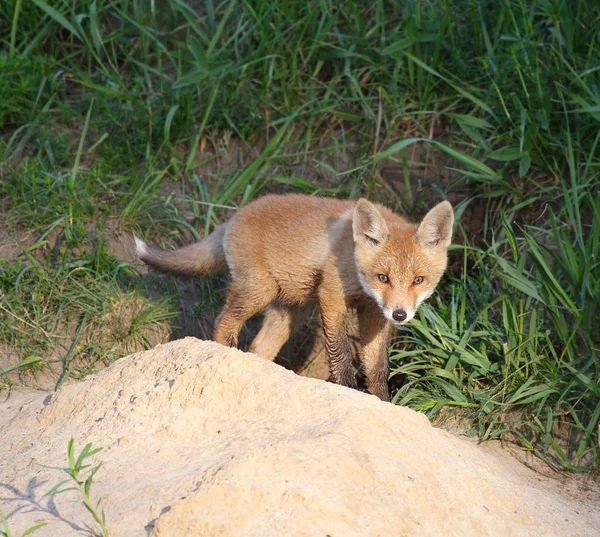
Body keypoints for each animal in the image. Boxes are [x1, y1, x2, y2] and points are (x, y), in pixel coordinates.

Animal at [137, 195, 454, 400]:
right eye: (383, 277)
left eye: (418, 280)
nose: (400, 315)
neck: (351, 257)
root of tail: (233, 217)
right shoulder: (331, 297)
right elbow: (340, 354)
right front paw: (349, 391)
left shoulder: (374, 313)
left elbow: (377, 369)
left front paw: (383, 402)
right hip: (258, 291)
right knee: (224, 321)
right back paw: (227, 354)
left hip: (290, 310)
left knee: (259, 348)